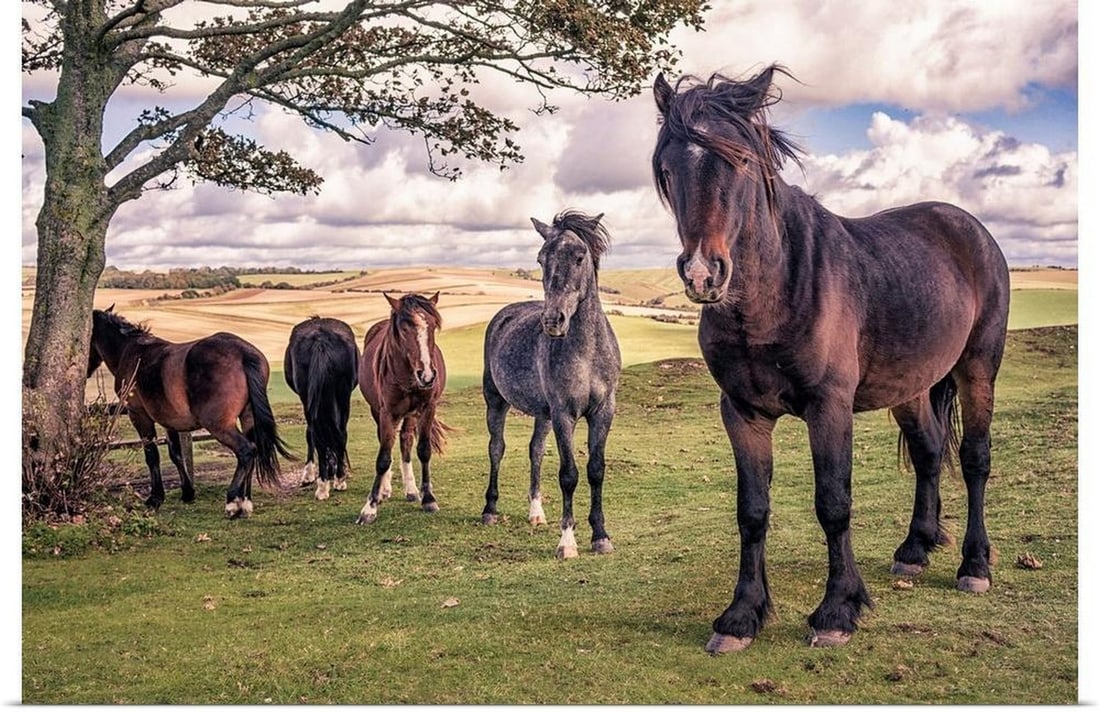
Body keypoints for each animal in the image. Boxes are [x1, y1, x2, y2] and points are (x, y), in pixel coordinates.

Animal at [87, 307, 292, 517]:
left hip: (219, 425)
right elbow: (175, 454)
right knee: (253, 450)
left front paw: (155, 498)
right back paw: (245, 502)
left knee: (246, 451)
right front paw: (187, 492)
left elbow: (152, 455)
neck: (131, 351)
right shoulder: (169, 421)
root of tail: (243, 353)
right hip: (248, 417)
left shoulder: (139, 415)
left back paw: (233, 501)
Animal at [284, 316, 360, 501]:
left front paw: (310, 473)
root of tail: (321, 339)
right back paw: (336, 480)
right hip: (343, 396)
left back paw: (326, 483)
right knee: (340, 434)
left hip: (311, 398)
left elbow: (310, 434)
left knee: (321, 435)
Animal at [355, 292, 448, 524]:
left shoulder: (427, 408)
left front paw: (428, 498)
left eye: (433, 326)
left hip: (411, 414)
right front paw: (370, 508)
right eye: (405, 329)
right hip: (378, 411)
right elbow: (383, 457)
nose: (427, 375)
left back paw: (411, 490)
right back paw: (384, 490)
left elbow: (423, 450)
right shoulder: (387, 412)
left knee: (406, 440)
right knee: (385, 443)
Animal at [481, 211, 622, 559]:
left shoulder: (603, 411)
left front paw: (600, 536)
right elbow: (568, 474)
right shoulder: (563, 414)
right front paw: (567, 542)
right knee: (496, 448)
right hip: (496, 402)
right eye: (541, 259)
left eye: (580, 256)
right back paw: (489, 510)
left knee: (535, 450)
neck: (587, 351)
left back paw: (536, 513)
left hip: (542, 414)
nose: (552, 321)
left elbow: (596, 470)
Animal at [651, 66, 1010, 652]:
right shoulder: (742, 413)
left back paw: (974, 566)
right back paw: (915, 549)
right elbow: (752, 511)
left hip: (978, 367)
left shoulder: (830, 408)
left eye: (741, 160)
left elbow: (833, 504)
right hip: (911, 388)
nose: (704, 274)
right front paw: (740, 616)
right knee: (930, 453)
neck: (776, 292)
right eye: (667, 168)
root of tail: (967, 226)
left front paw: (837, 610)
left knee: (975, 459)